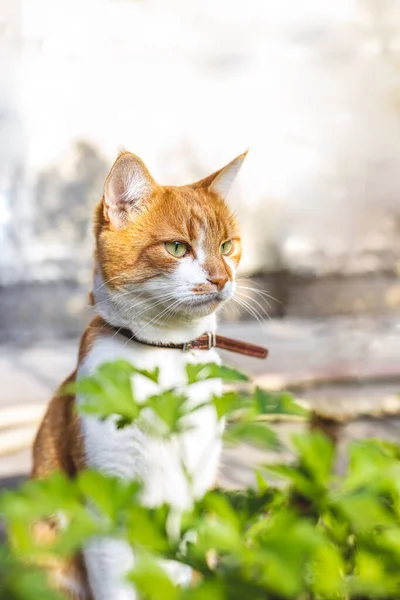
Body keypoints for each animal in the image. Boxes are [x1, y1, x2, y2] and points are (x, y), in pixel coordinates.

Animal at [32, 148, 247, 596]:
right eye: (178, 247)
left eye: (227, 245)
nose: (222, 277)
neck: (167, 354)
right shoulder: (105, 500)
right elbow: (117, 584)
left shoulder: (196, 490)